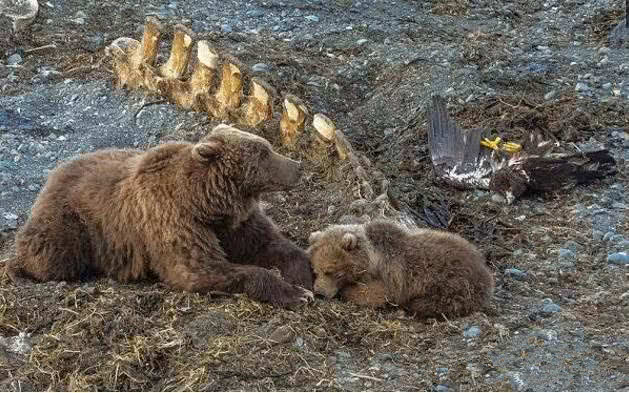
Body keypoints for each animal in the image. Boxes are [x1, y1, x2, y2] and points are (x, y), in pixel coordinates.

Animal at [9, 123, 314, 306]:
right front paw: (296, 294)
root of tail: (51, 176)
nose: (298, 165)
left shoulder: (235, 223)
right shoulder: (174, 220)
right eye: (263, 152)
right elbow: (201, 269)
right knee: (51, 253)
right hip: (71, 221)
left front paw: (305, 279)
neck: (207, 202)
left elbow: (267, 243)